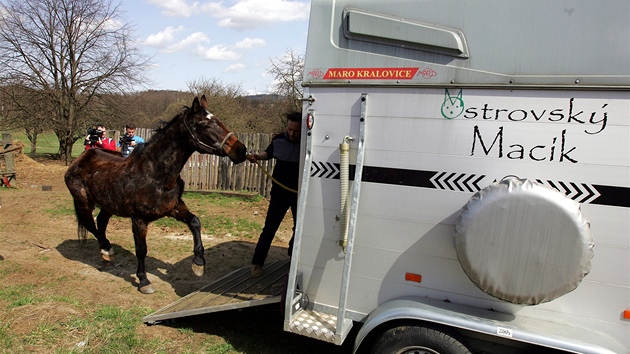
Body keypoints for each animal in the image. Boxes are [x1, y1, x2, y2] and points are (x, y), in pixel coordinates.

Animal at [64, 96, 247, 294]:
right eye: (204, 124)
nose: (241, 150)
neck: (155, 174)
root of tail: (81, 158)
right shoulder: (139, 219)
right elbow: (141, 249)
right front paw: (144, 281)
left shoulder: (174, 207)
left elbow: (195, 222)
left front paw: (198, 263)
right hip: (83, 202)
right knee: (91, 225)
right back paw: (106, 248)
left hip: (109, 205)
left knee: (101, 222)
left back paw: (106, 252)